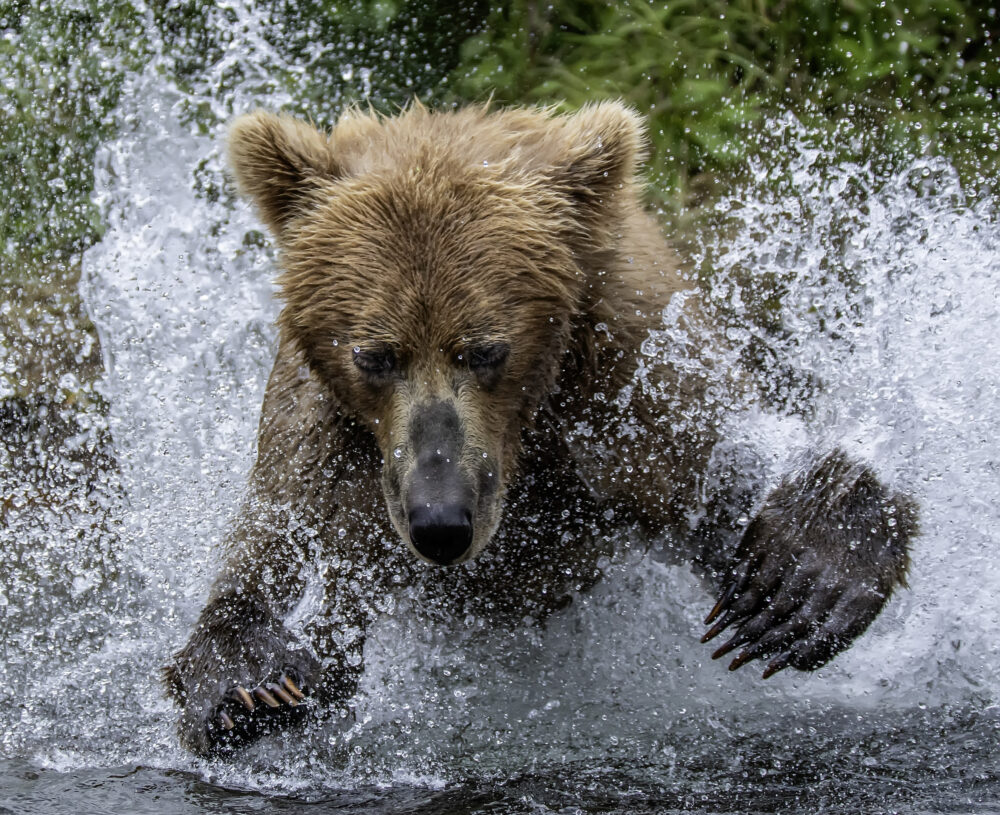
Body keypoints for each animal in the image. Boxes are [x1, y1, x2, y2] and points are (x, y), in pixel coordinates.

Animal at [160, 103, 916, 760]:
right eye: (374, 355)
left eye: (485, 349)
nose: (440, 521)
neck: (529, 430)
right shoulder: (326, 435)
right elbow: (275, 549)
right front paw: (254, 683)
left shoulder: (629, 385)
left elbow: (723, 493)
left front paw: (800, 580)